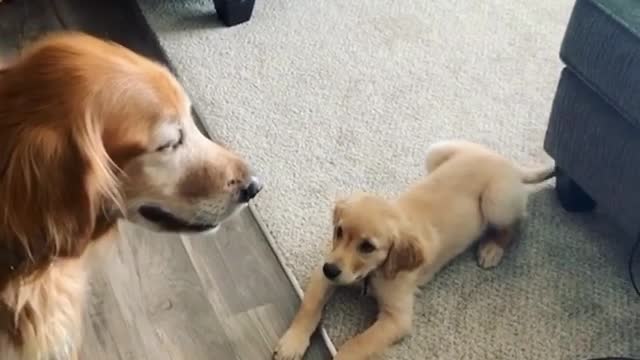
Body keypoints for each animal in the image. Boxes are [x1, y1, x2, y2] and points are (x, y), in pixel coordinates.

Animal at [272, 139, 552, 358]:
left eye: (367, 246)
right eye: (339, 232)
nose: (331, 269)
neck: (373, 273)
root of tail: (507, 162)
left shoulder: (397, 318)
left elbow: (358, 344)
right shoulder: (323, 272)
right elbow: (309, 306)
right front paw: (292, 342)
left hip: (497, 201)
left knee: (517, 222)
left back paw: (492, 249)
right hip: (436, 151)